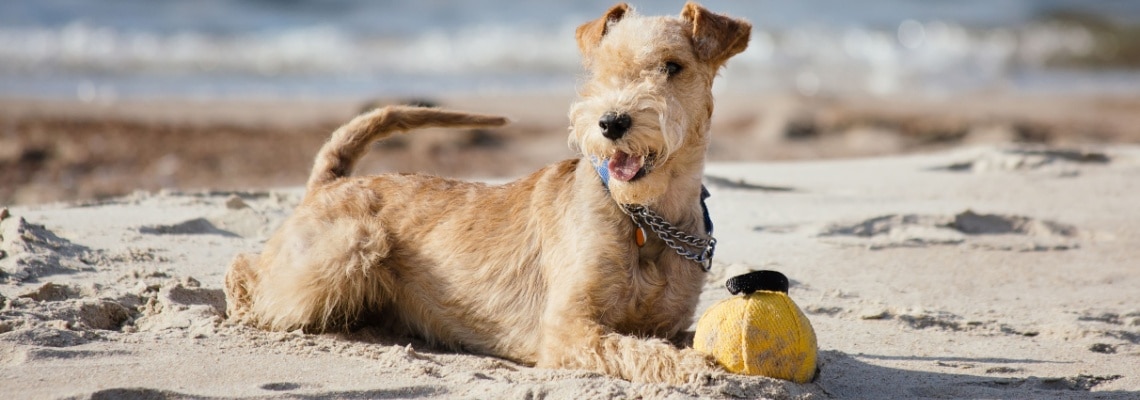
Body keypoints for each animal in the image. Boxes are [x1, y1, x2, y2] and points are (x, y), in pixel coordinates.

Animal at [225, 2, 752, 385]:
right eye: (599, 70)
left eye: (672, 66)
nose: (611, 123)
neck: (644, 216)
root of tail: (329, 183)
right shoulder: (567, 328)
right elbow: (635, 348)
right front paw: (695, 368)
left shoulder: (665, 323)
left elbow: (666, 340)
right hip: (346, 248)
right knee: (247, 271)